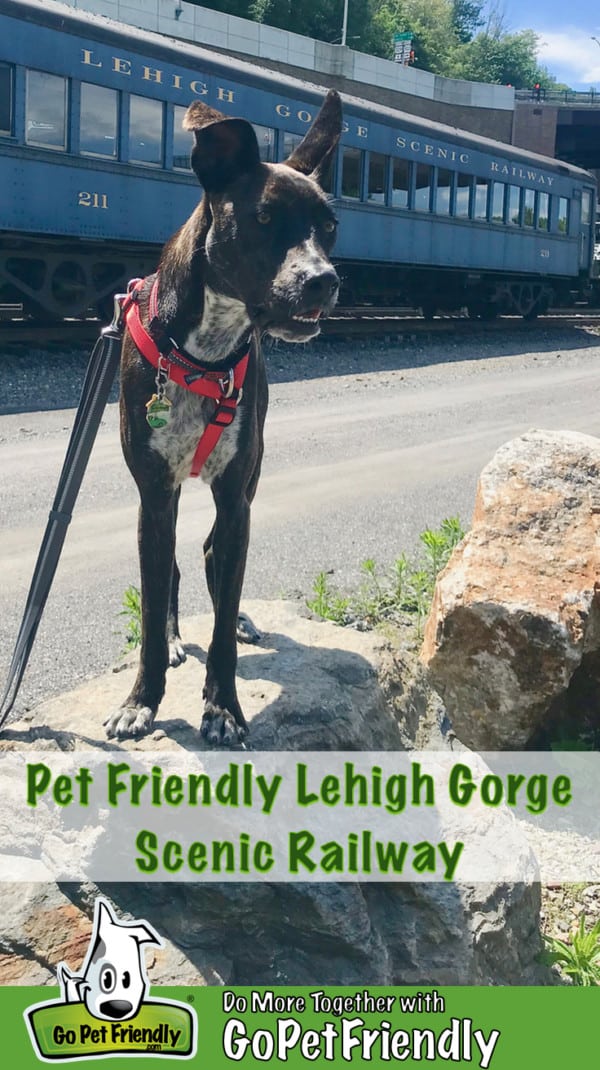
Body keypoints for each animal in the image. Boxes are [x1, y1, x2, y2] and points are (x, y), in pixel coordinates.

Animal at [102, 89, 342, 744]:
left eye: (330, 227)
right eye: (262, 218)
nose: (324, 280)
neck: (205, 349)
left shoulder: (236, 496)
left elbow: (226, 586)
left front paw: (224, 707)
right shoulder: (154, 494)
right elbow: (153, 602)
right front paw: (142, 700)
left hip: (247, 482)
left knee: (213, 556)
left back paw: (231, 623)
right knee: (174, 575)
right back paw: (177, 638)